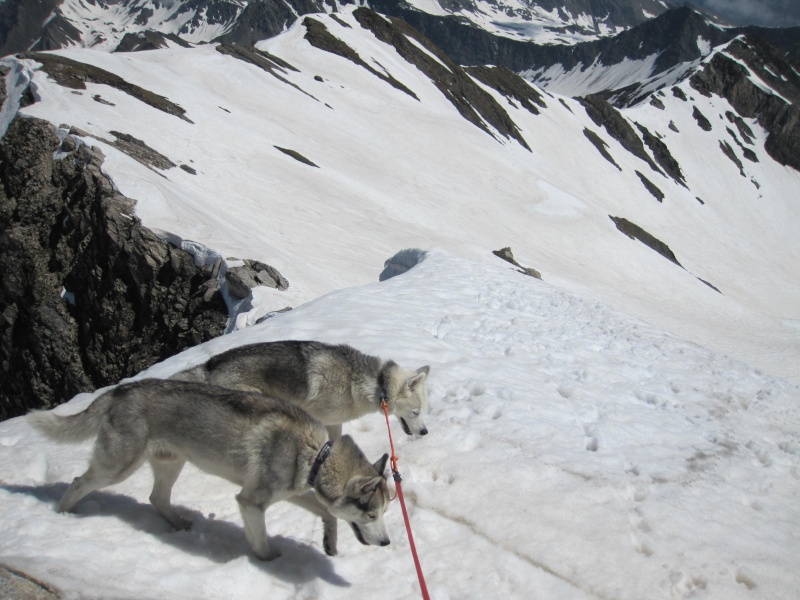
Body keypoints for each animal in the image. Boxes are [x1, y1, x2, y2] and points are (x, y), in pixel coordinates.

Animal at [29, 382, 392, 560]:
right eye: (372, 515)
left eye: (385, 513)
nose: (388, 543)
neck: (316, 454)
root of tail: (118, 390)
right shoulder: (252, 502)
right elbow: (261, 542)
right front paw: (269, 560)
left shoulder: (294, 491)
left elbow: (328, 513)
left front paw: (330, 544)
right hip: (117, 467)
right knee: (79, 481)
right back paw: (62, 514)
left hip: (170, 463)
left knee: (157, 497)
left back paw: (178, 525)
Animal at [170, 340, 432, 438]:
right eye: (416, 412)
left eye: (423, 412)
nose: (425, 432)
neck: (376, 384)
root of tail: (211, 363)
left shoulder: (334, 423)